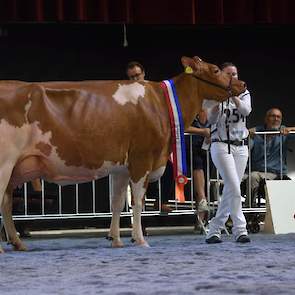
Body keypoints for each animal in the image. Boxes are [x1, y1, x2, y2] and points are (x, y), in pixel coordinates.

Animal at [0, 56, 246, 252]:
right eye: (215, 70)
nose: (242, 83)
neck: (160, 102)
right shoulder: (142, 158)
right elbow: (137, 202)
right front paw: (139, 240)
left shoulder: (121, 167)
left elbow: (117, 203)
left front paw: (116, 240)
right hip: (5, 163)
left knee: (6, 203)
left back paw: (18, 243)